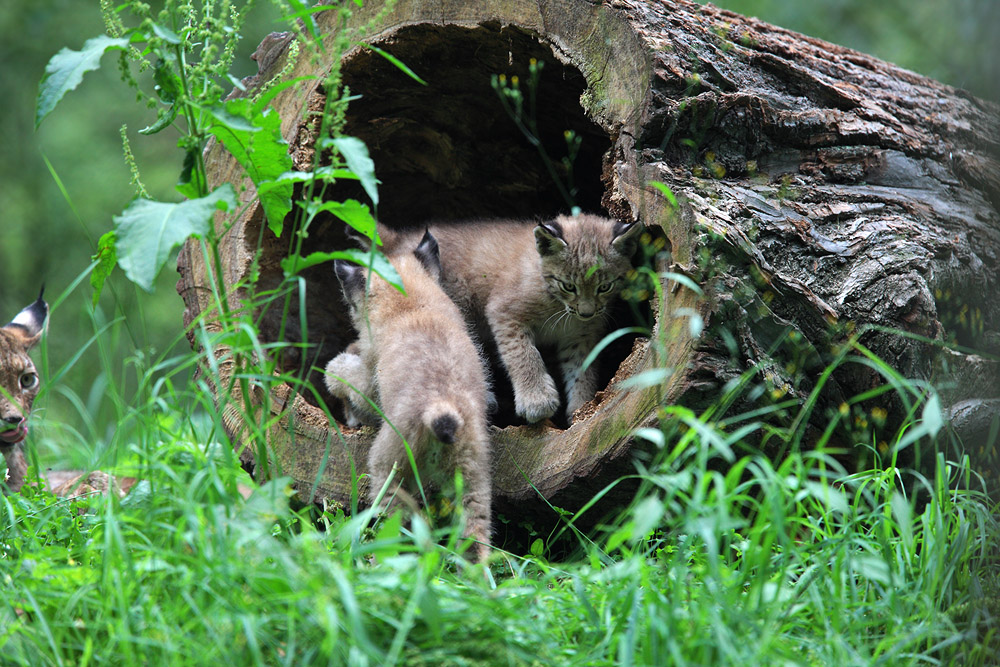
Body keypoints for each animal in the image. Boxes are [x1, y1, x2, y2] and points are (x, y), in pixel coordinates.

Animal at [326, 232, 494, 560]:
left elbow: (344, 373)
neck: (411, 300)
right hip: (472, 473)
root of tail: (442, 409)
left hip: (389, 464)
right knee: (474, 538)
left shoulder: (370, 382)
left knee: (401, 525)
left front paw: (334, 370)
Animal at [382, 214, 640, 422]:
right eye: (569, 286)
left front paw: (581, 409)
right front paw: (537, 401)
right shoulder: (503, 311)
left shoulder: (582, 336)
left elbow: (583, 370)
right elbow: (523, 355)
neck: (561, 307)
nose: (587, 313)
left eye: (604, 287)